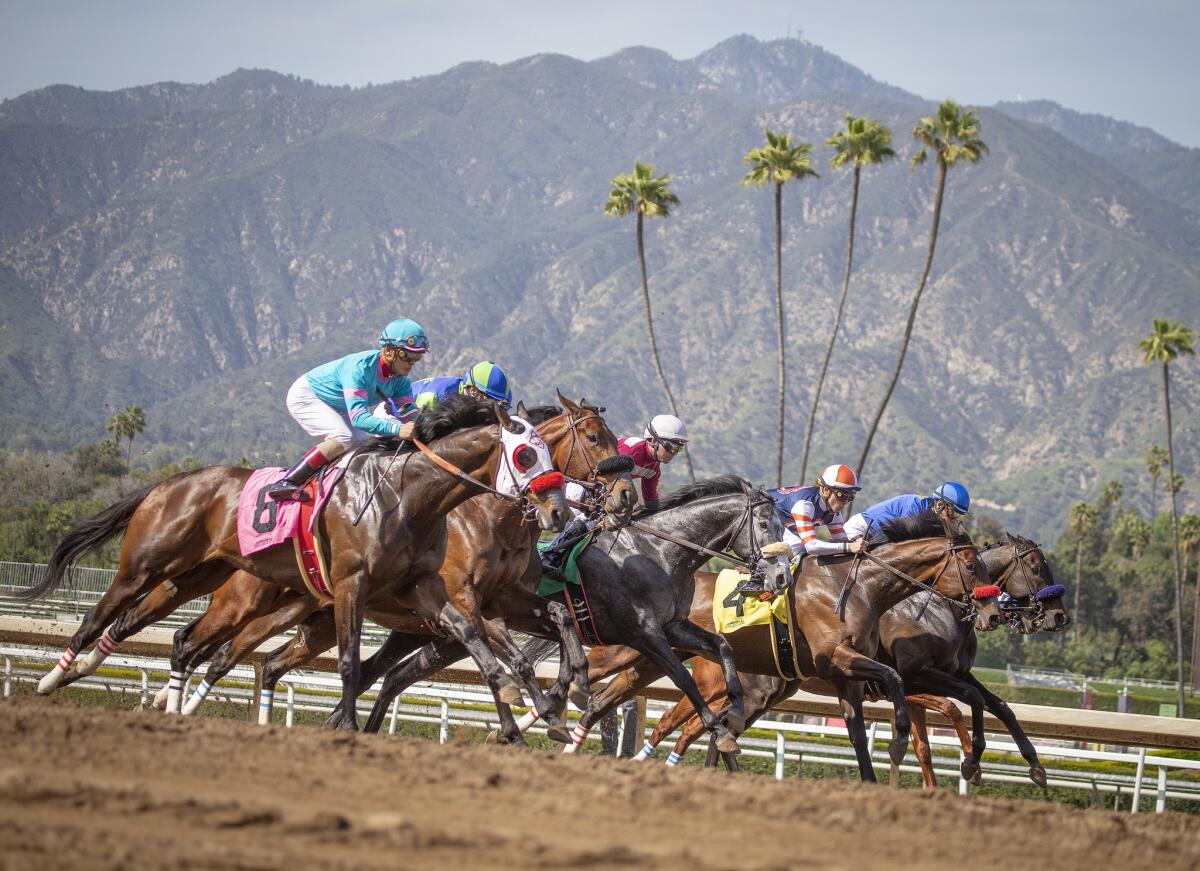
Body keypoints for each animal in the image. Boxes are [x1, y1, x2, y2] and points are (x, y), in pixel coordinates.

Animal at [23, 400, 566, 729]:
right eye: (525, 454)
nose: (560, 509)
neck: (408, 498)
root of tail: (167, 483)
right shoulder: (355, 584)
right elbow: (352, 663)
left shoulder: (427, 590)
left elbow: (483, 641)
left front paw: (530, 706)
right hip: (154, 569)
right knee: (104, 617)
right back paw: (52, 680)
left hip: (204, 581)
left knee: (188, 643)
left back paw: (162, 700)